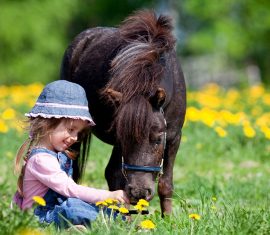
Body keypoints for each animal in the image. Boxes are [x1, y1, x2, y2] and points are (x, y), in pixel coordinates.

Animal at [60, 9, 186, 215]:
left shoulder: (174, 136)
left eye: (158, 139)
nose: (140, 192)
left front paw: (168, 218)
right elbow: (116, 177)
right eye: (125, 138)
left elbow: (166, 184)